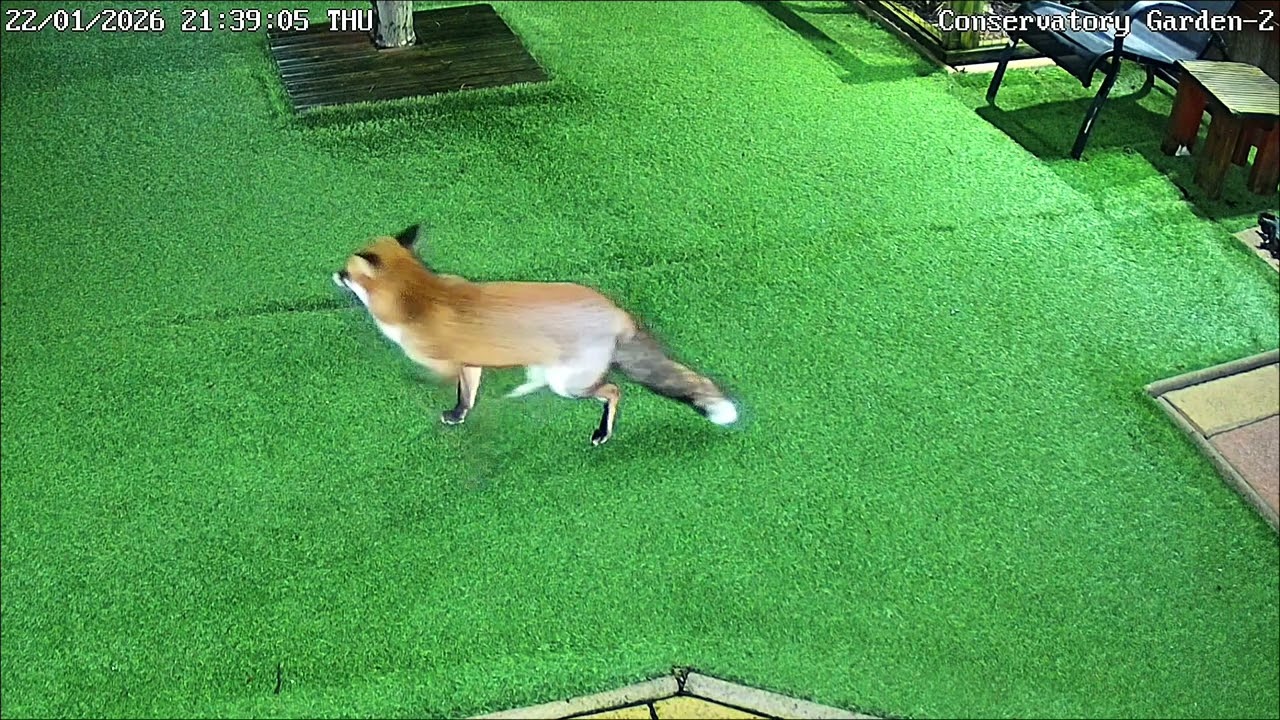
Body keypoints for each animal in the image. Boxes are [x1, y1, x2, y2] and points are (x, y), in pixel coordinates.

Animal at [332, 223, 739, 446]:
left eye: (346, 271)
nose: (332, 274)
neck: (419, 298)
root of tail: (616, 311)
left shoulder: (447, 363)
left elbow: (445, 386)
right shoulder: (471, 363)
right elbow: (468, 396)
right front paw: (460, 414)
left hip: (569, 383)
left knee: (613, 390)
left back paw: (601, 431)